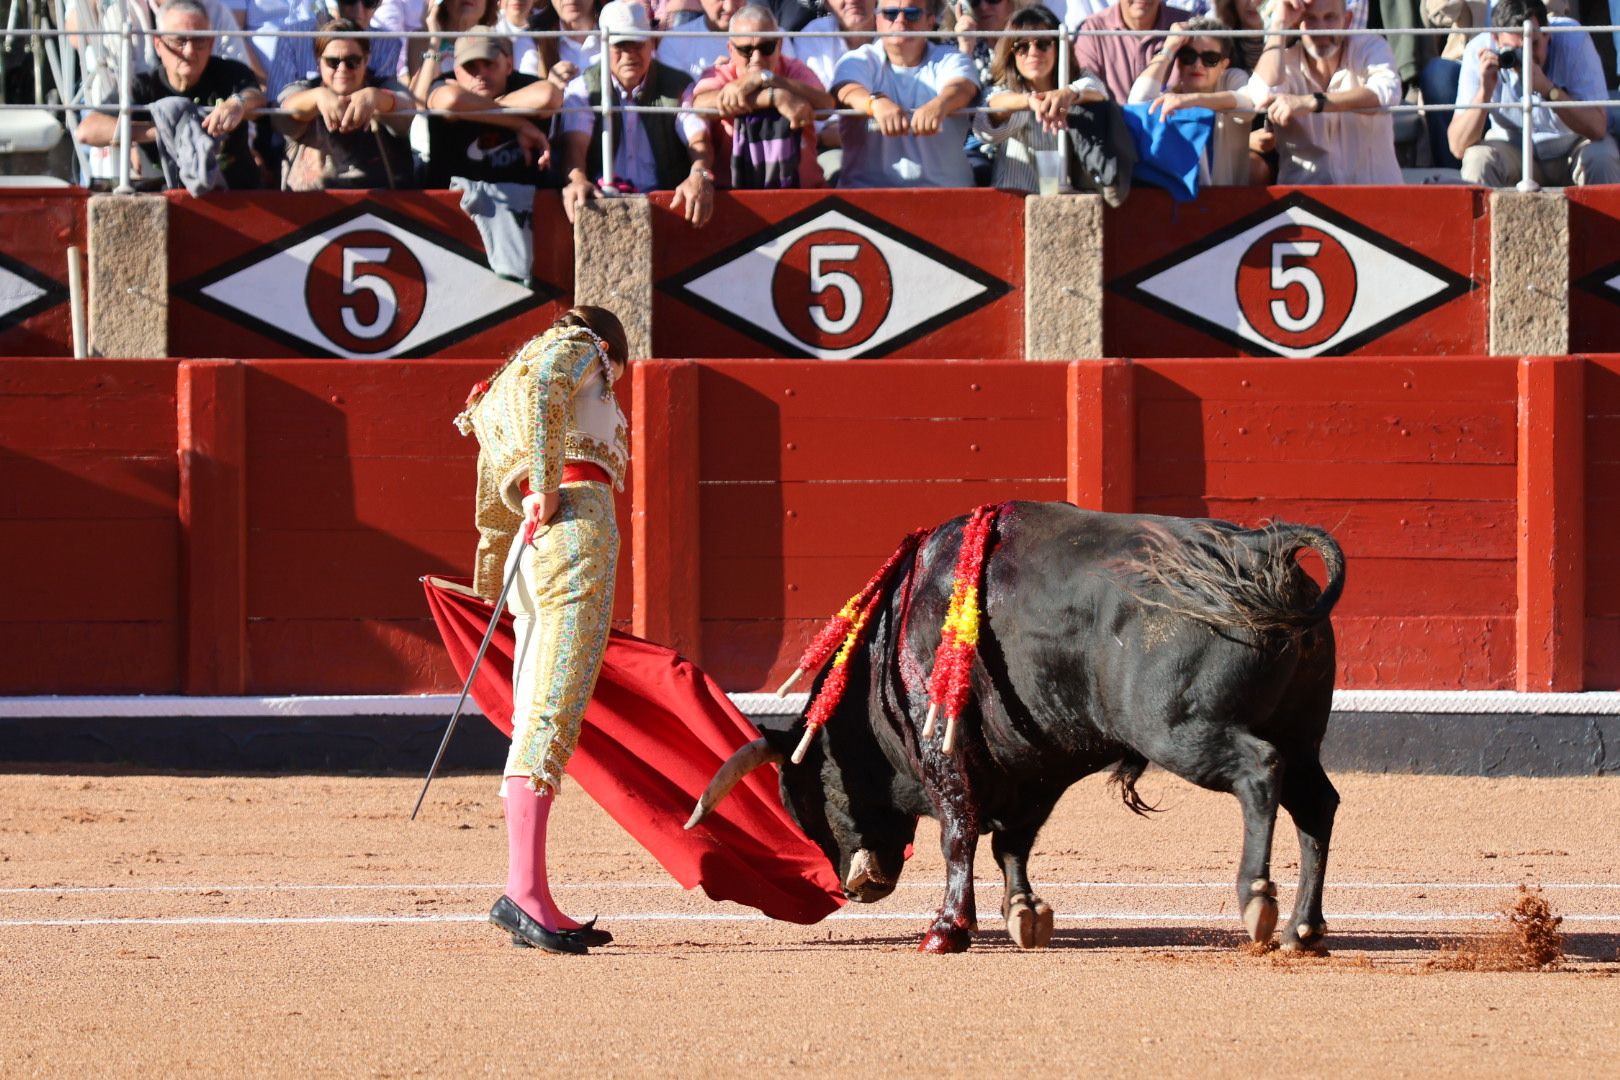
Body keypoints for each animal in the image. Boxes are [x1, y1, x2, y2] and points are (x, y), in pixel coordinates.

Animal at [690, 501, 1347, 952]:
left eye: (808, 794)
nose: (856, 890)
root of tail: (1262, 549)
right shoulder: (1036, 767)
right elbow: (1011, 841)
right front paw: (1025, 913)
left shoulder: (944, 752)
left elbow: (958, 834)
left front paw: (946, 929)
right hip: (1301, 734)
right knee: (1316, 803)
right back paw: (1304, 929)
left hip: (1179, 729)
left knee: (1259, 771)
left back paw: (1257, 901)